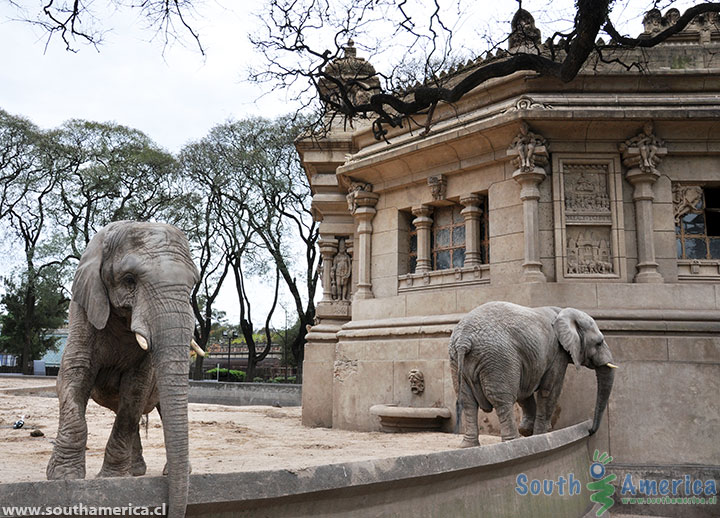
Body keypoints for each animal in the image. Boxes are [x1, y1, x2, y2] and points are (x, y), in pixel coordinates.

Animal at [47, 222, 200, 518]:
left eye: (192, 286)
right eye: (129, 280)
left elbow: (135, 390)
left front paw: (112, 478)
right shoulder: (81, 312)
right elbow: (74, 376)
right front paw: (63, 477)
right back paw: (137, 471)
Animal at [448, 302, 616, 448]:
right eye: (599, 342)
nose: (589, 430)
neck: (562, 311)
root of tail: (464, 340)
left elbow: (524, 391)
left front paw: (528, 431)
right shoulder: (557, 353)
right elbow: (550, 390)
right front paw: (541, 434)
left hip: (457, 360)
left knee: (467, 401)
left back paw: (467, 446)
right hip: (498, 358)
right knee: (502, 400)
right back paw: (512, 443)